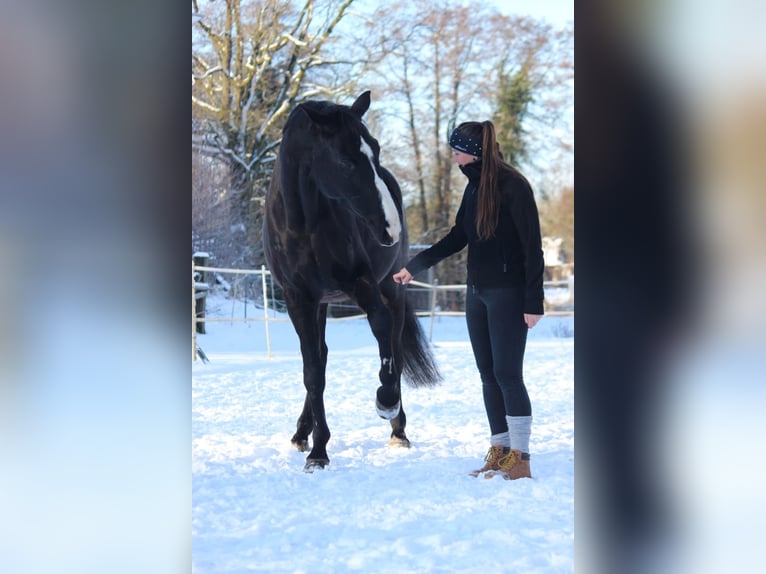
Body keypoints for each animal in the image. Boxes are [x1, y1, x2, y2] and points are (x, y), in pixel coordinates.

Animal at [268, 92, 440, 474]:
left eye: (375, 150)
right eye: (345, 162)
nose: (391, 228)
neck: (305, 225)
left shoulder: (362, 283)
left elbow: (382, 334)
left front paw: (386, 401)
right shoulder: (299, 299)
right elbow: (313, 372)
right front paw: (318, 449)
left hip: (391, 288)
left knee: (394, 343)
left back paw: (398, 429)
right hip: (322, 304)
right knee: (321, 358)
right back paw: (301, 433)